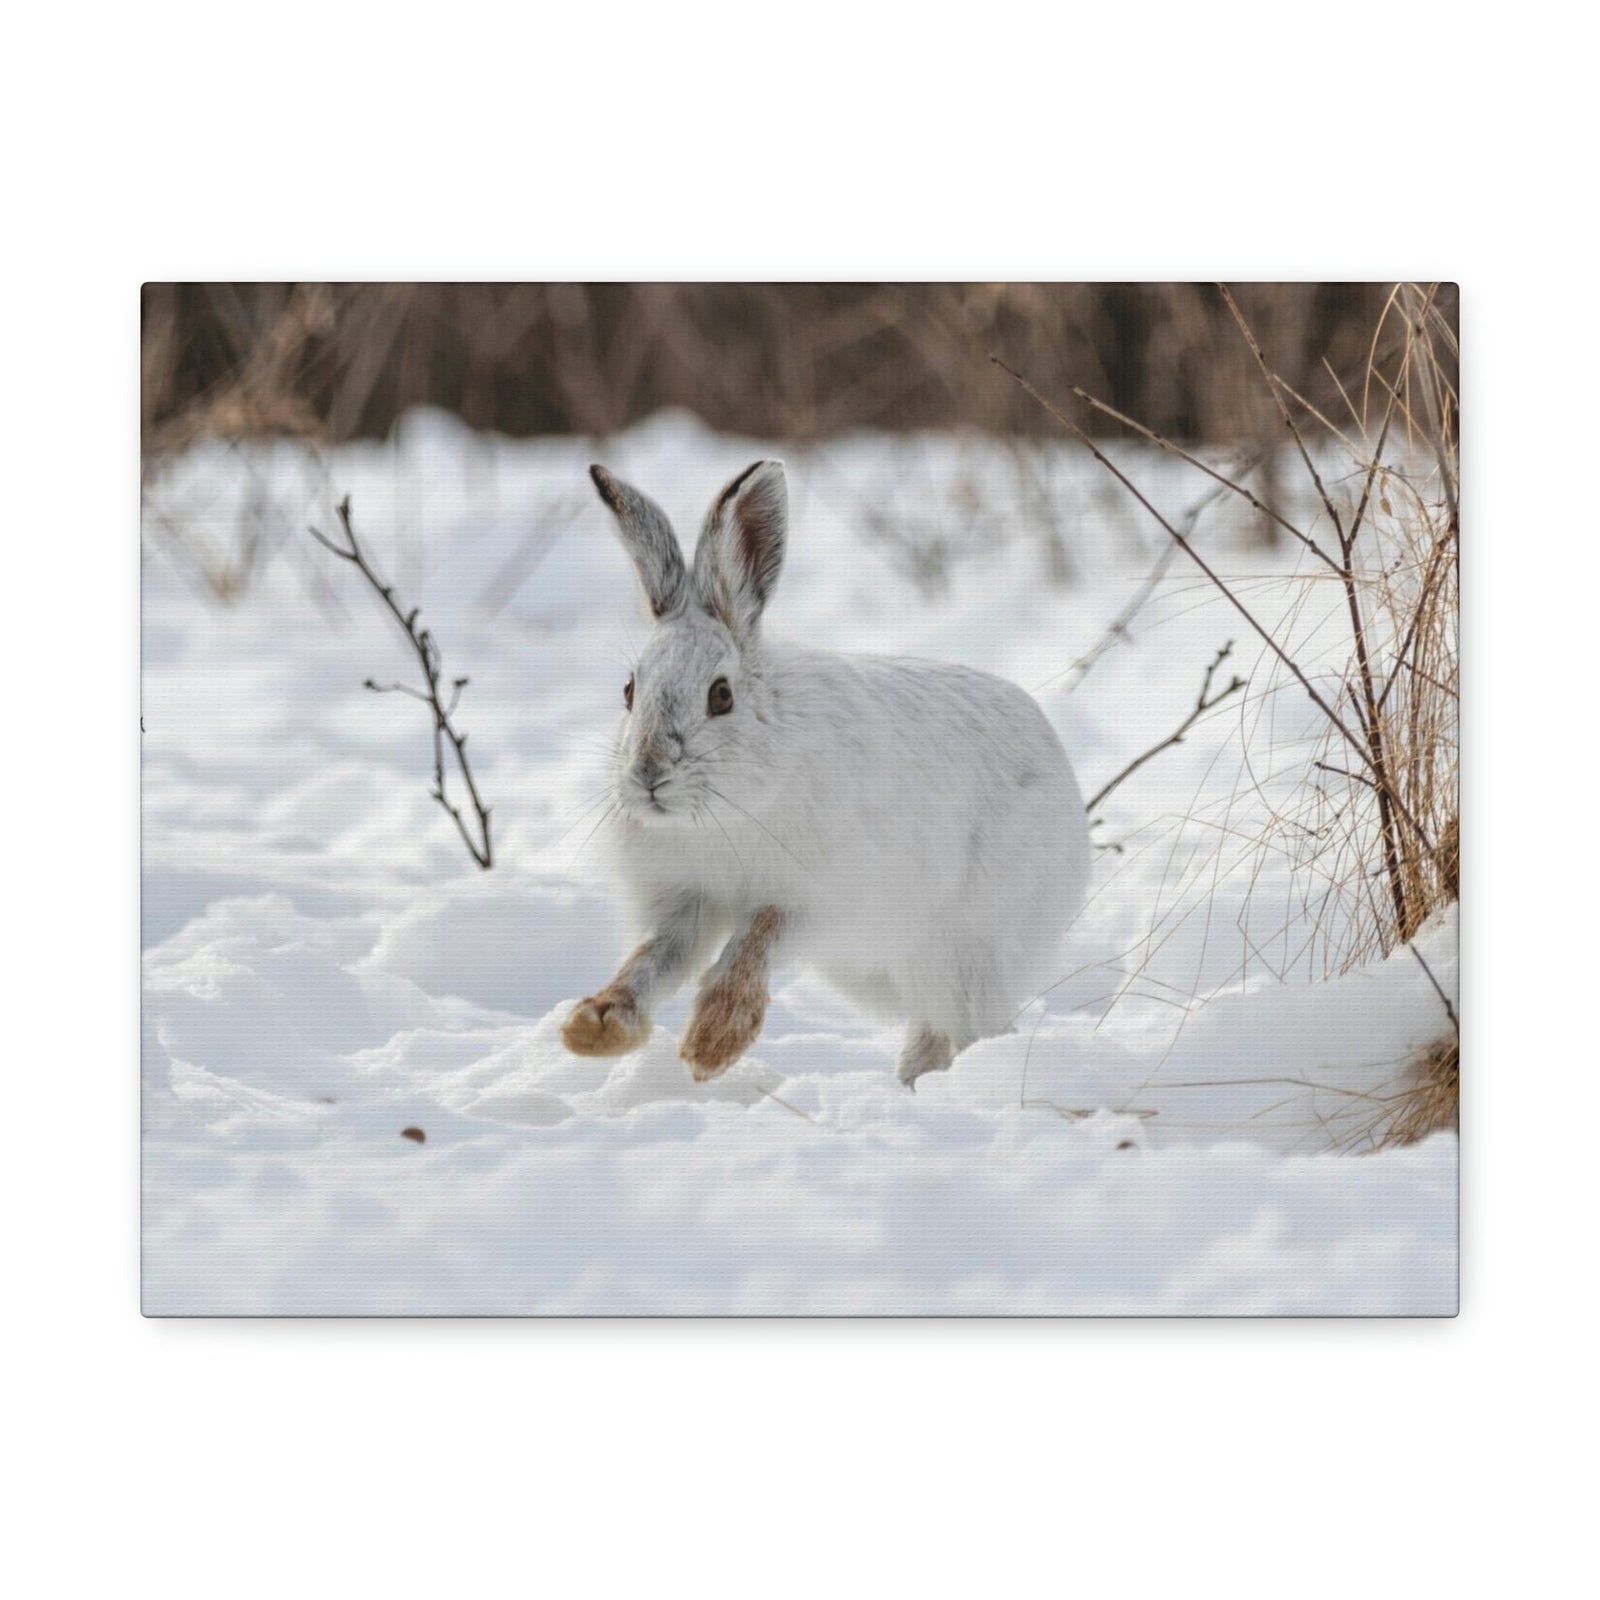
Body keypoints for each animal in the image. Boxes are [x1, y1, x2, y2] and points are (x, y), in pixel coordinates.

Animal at [560, 459, 1091, 1088]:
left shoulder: (815, 900)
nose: (648, 774)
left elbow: (755, 941)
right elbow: (652, 960)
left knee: (970, 1026)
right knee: (934, 1031)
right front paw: (594, 1026)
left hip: (966, 951)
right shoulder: (683, 904)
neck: (719, 811)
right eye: (628, 690)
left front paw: (712, 1043)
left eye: (721, 696)